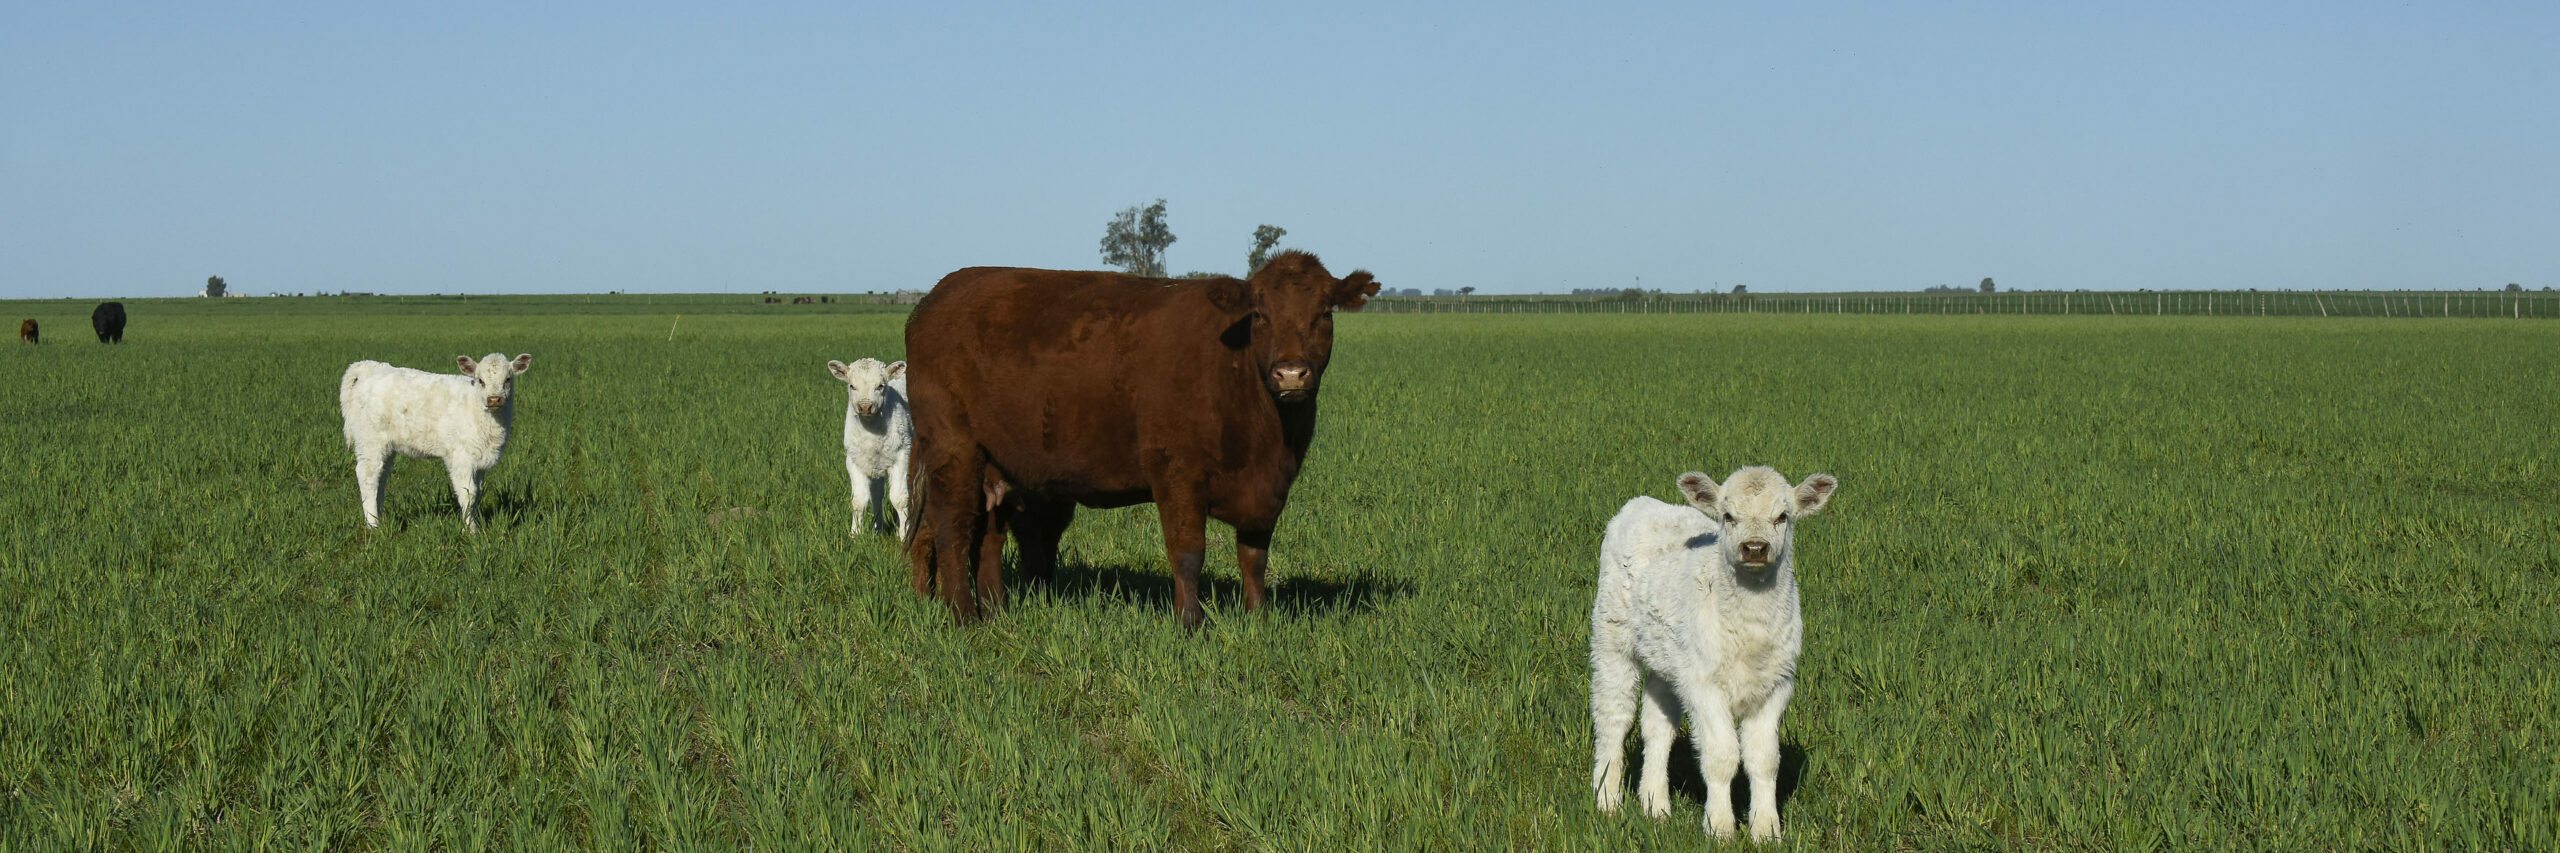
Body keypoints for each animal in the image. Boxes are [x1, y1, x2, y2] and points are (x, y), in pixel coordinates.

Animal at [824, 356, 916, 535]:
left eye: (880, 386)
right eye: (852, 386)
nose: (865, 406)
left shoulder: (902, 456)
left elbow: (899, 498)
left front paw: (904, 534)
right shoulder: (853, 461)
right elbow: (859, 500)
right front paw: (855, 535)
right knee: (877, 494)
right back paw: (878, 529)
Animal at [901, 245, 1382, 625]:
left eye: (1324, 313)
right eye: (1260, 315)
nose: (1291, 373)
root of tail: (939, 294)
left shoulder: (1269, 489)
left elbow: (1254, 556)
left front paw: (1259, 618)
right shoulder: (1177, 472)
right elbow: (1188, 552)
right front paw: (1191, 623)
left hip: (998, 463)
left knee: (989, 536)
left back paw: (997, 611)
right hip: (953, 449)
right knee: (951, 529)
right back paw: (964, 615)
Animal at [1587, 468, 1832, 840]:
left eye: (1782, 516)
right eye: (1728, 516)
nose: (1755, 548)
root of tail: (1642, 503)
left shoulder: (1777, 684)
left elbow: (1764, 759)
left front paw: (1766, 829)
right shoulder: (1703, 684)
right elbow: (1722, 756)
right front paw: (1719, 827)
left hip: (1668, 659)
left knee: (1657, 725)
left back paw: (1655, 806)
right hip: (1611, 637)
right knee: (1613, 716)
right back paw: (1607, 800)